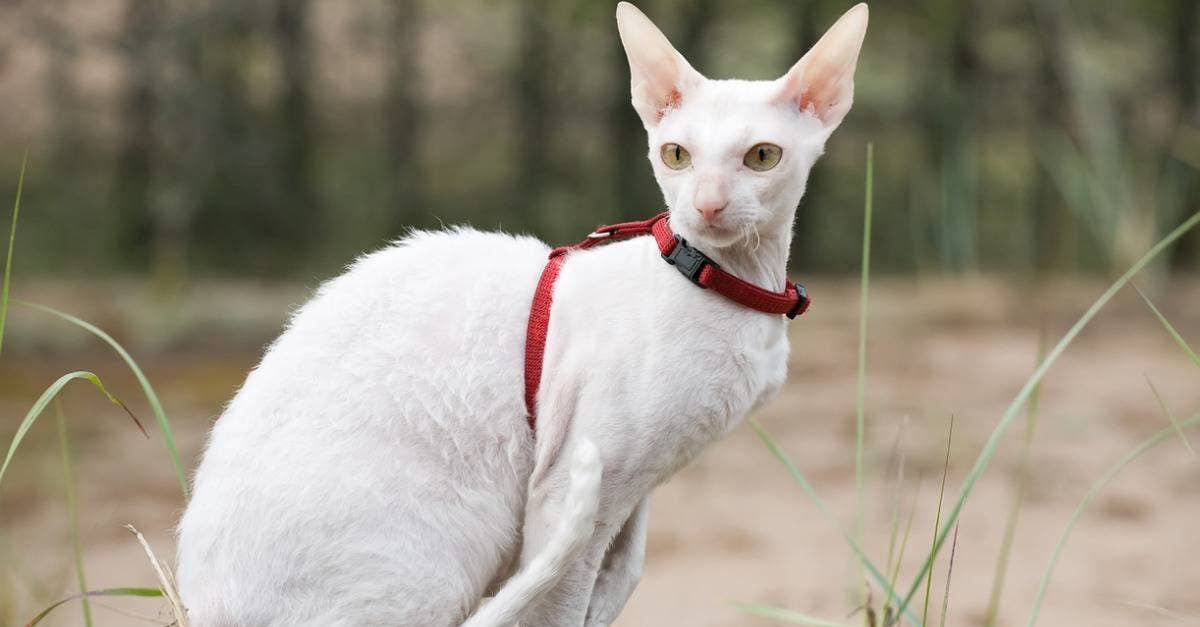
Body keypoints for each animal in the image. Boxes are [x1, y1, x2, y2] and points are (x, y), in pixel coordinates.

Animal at [175, 2, 864, 619]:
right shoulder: (573, 483)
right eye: (677, 155)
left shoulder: (633, 488)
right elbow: (560, 602)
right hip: (439, 549)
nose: (708, 205)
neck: (728, 283)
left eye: (762, 157)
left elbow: (622, 578)